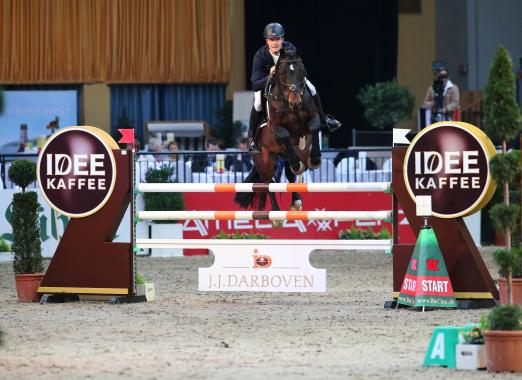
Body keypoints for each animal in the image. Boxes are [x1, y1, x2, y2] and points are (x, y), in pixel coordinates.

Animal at [235, 49, 320, 223]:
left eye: (302, 72)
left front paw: (315, 159)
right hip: (264, 161)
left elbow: (315, 126)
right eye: (282, 74)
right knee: (269, 183)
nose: (296, 103)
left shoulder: (312, 118)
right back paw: (276, 215)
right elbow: (284, 134)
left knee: (291, 174)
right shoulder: (275, 129)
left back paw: (296, 201)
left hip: (287, 155)